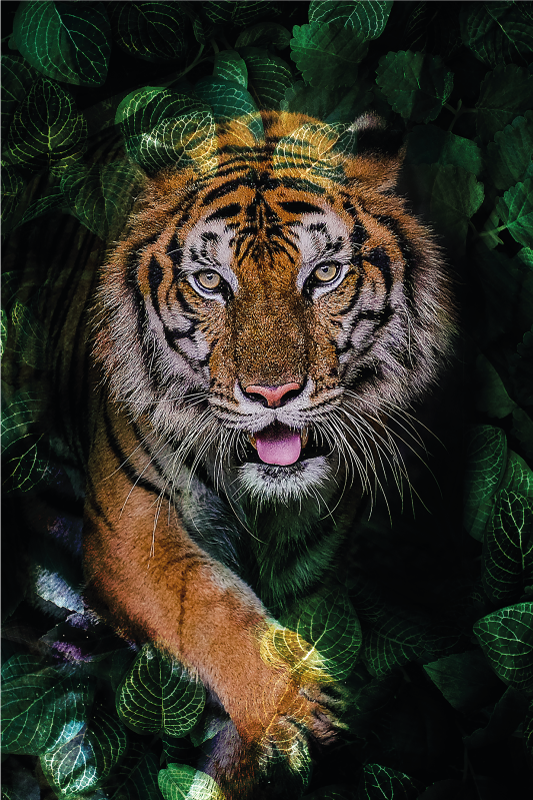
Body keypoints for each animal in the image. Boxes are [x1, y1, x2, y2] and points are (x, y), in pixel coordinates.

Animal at [2, 110, 455, 797]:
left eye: (324, 274)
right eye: (211, 282)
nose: (273, 393)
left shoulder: (311, 573)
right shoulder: (134, 531)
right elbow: (209, 605)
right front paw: (295, 703)